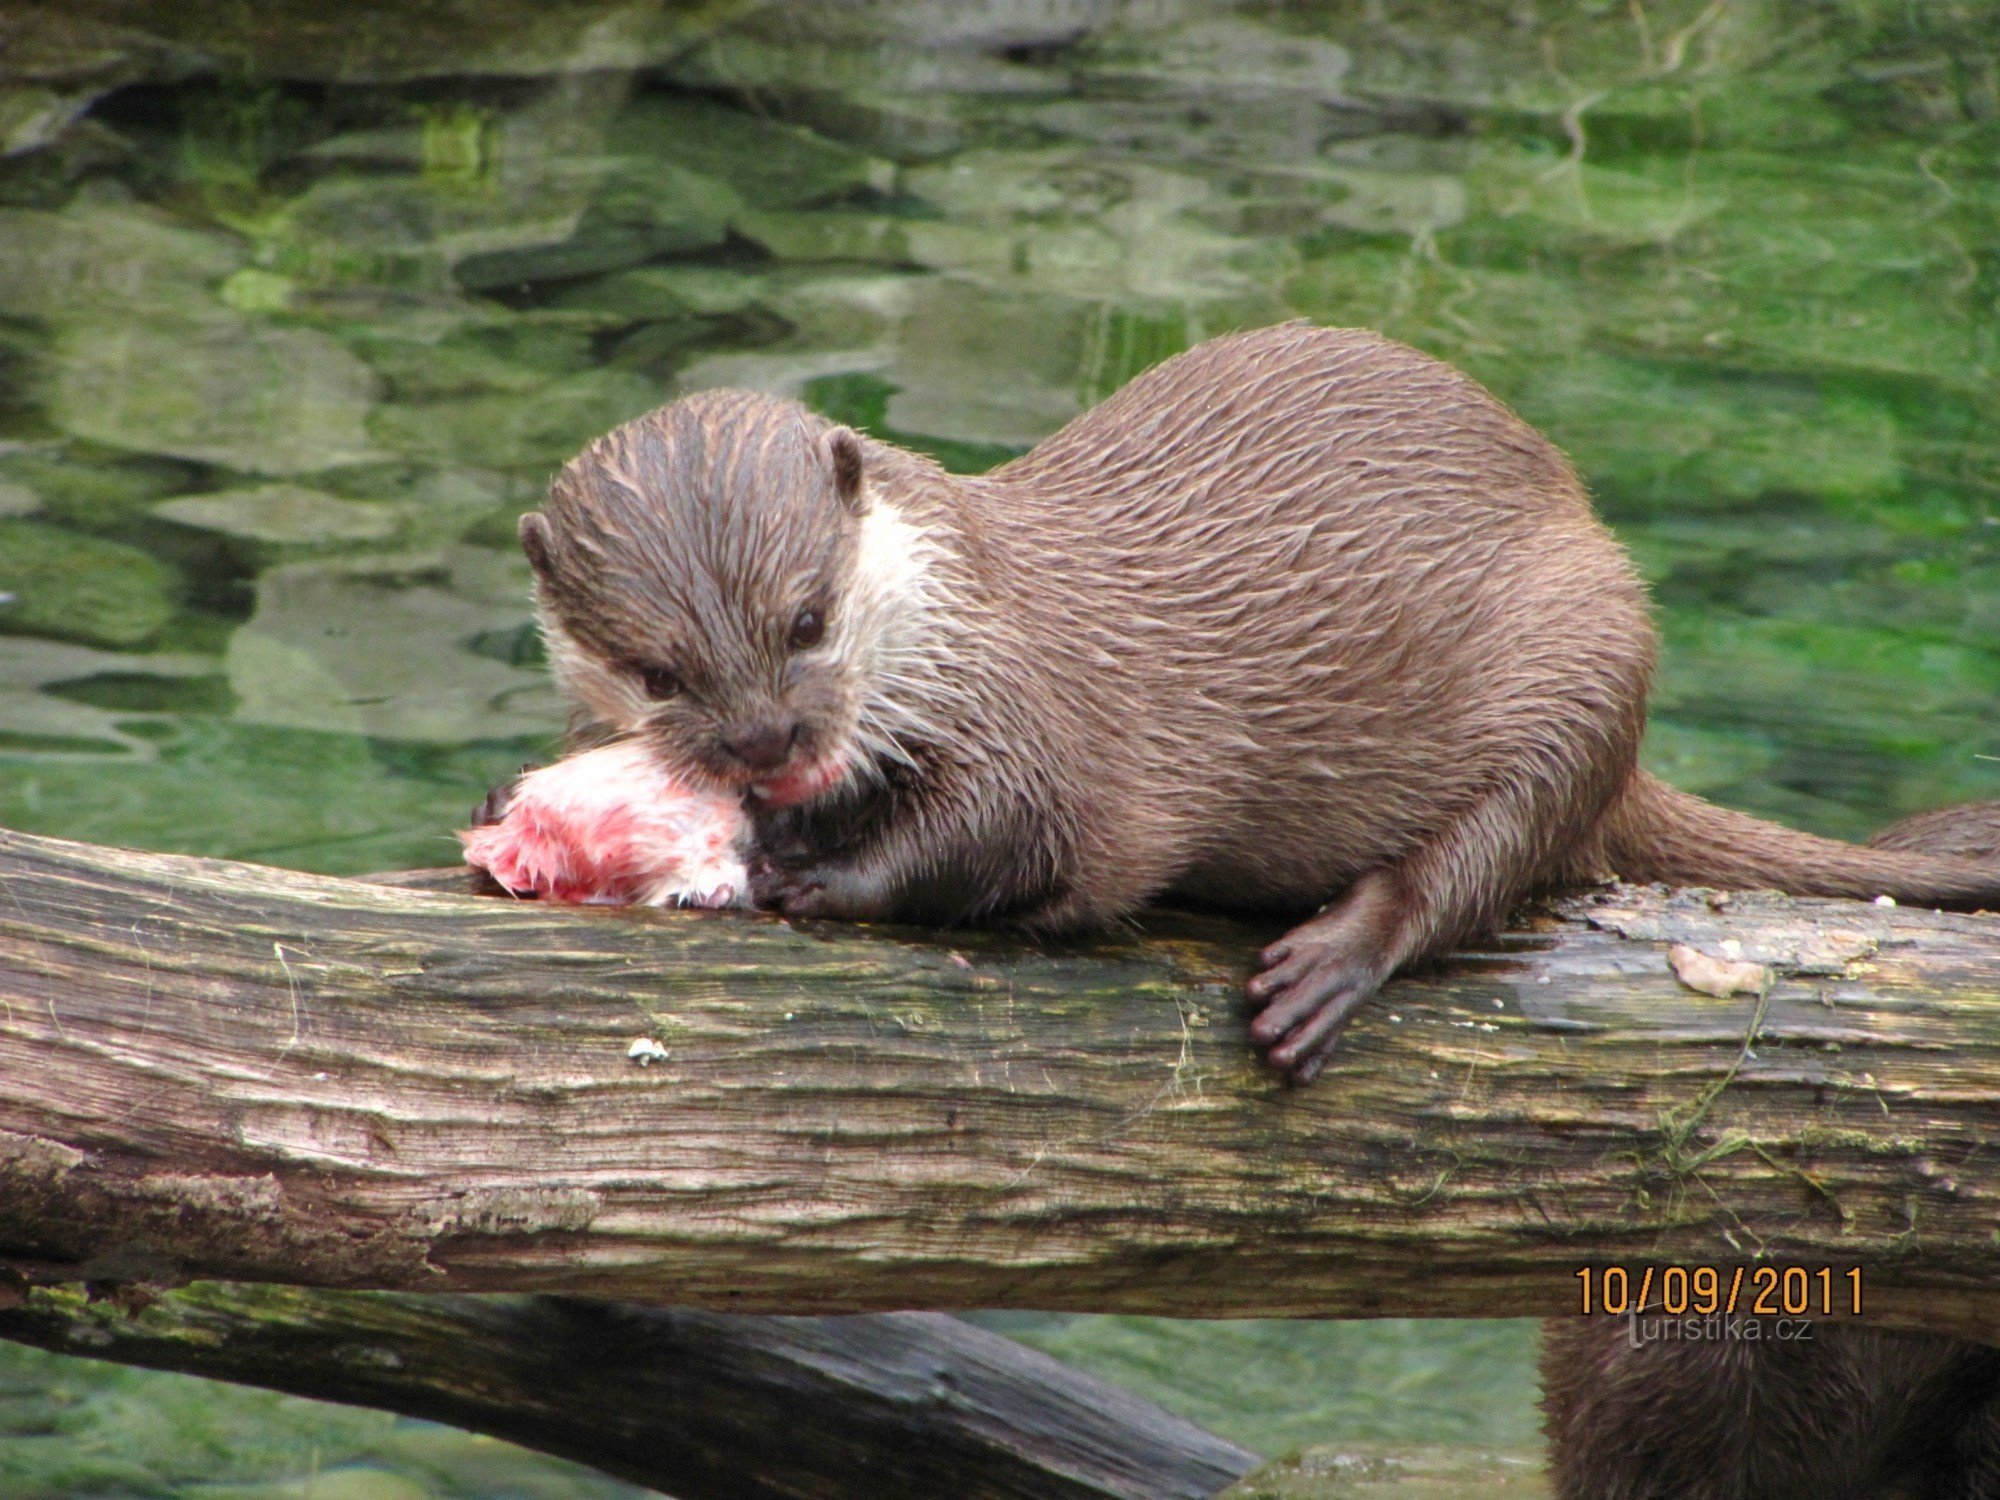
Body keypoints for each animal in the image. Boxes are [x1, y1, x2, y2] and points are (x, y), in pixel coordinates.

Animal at [520, 324, 2000, 1088]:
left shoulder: (1046, 716)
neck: (954, 612)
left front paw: (814, 875)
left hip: (1582, 661)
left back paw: (1327, 964)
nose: (769, 745)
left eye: (807, 620)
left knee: (1485, 863)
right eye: (656, 672)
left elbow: (1015, 841)